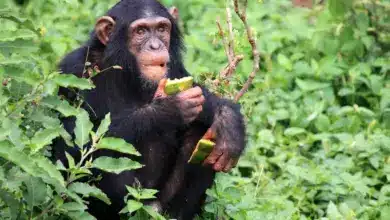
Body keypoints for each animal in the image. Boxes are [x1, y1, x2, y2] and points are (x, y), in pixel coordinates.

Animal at [53, 0, 245, 219]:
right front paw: (169, 109)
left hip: (161, 203)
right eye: (141, 31)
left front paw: (229, 124)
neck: (127, 71)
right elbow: (72, 147)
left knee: (200, 132)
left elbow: (200, 93)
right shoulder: (74, 71)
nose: (155, 45)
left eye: (161, 29)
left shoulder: (174, 67)